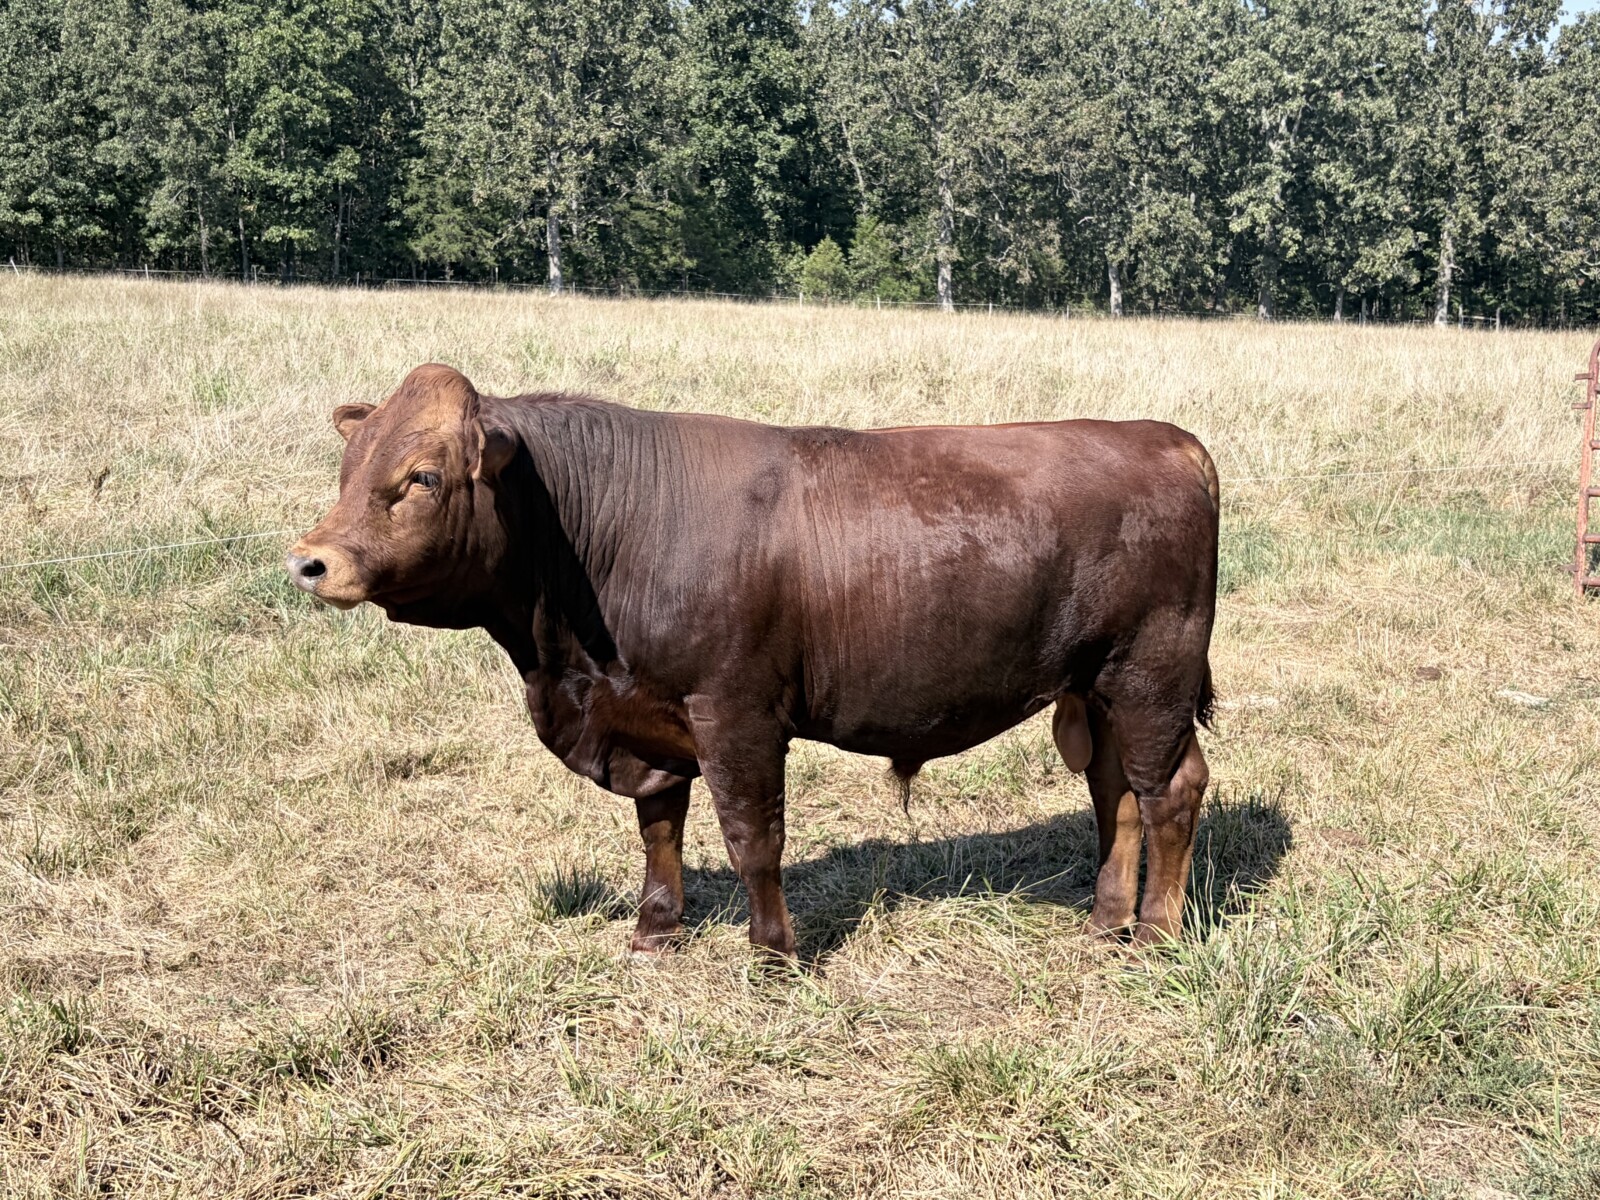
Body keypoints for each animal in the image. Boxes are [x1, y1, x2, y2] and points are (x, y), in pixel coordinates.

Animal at [286, 364, 1218, 959]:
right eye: (349, 464)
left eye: (423, 476)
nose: (311, 561)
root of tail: (1169, 440)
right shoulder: (646, 714)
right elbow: (659, 823)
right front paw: (655, 930)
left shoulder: (735, 711)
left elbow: (751, 836)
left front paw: (771, 953)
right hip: (1100, 687)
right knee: (1115, 793)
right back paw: (1103, 924)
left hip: (1153, 675)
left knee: (1169, 789)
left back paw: (1156, 936)